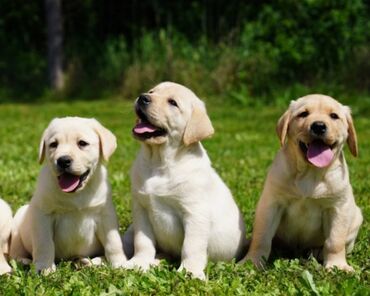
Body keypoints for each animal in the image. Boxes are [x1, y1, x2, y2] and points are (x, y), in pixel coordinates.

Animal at [10, 116, 126, 272]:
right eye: (53, 144)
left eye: (82, 143)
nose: (63, 160)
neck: (76, 194)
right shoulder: (43, 215)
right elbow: (44, 243)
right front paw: (44, 268)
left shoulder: (105, 215)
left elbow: (113, 242)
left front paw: (120, 264)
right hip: (18, 226)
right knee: (15, 253)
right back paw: (25, 261)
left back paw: (88, 261)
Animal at [123, 81, 247, 280]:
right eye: (152, 91)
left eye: (172, 102)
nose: (143, 97)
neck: (159, 161)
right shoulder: (141, 209)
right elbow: (142, 242)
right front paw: (138, 263)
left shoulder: (194, 213)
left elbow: (191, 247)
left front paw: (190, 272)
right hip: (130, 231)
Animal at [244, 95, 362, 272]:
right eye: (303, 114)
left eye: (334, 116)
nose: (319, 126)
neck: (310, 172)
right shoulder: (271, 204)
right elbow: (261, 238)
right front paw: (252, 262)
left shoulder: (338, 207)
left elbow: (335, 241)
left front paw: (337, 266)